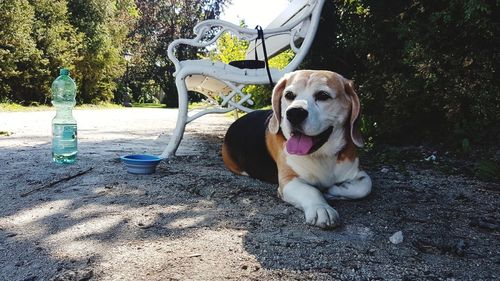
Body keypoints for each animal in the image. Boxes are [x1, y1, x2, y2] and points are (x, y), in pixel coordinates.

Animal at [223, 70, 372, 228]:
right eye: (289, 95)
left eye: (323, 95)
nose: (294, 113)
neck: (322, 155)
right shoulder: (289, 180)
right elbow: (310, 190)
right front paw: (321, 207)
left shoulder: (356, 173)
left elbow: (365, 186)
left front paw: (333, 190)